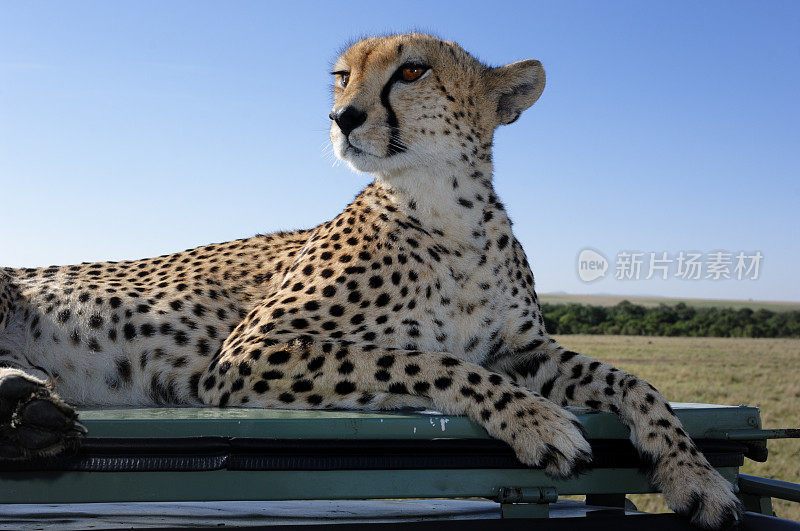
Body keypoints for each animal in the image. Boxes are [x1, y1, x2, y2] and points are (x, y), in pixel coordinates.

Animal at [0, 34, 740, 531]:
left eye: (411, 70)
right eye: (342, 76)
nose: (343, 117)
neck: (448, 210)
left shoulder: (523, 349)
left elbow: (635, 383)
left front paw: (694, 474)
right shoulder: (247, 354)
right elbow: (431, 361)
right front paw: (536, 420)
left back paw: (31, 409)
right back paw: (29, 413)